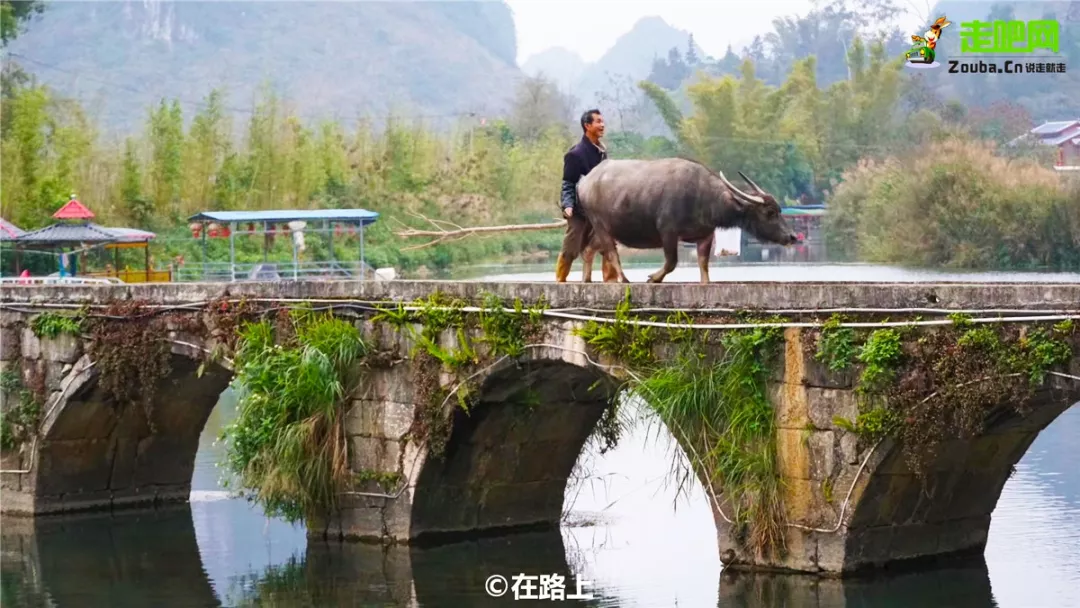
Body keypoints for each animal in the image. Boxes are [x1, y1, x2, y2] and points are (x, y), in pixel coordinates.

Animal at [574, 160, 803, 287]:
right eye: (770, 212)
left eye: (779, 210)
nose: (792, 236)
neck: (703, 197)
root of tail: (585, 181)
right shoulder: (668, 232)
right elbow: (671, 262)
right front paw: (653, 278)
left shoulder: (706, 236)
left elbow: (703, 263)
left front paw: (705, 282)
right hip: (600, 225)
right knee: (611, 252)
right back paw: (623, 279)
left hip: (607, 229)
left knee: (588, 249)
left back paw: (586, 278)